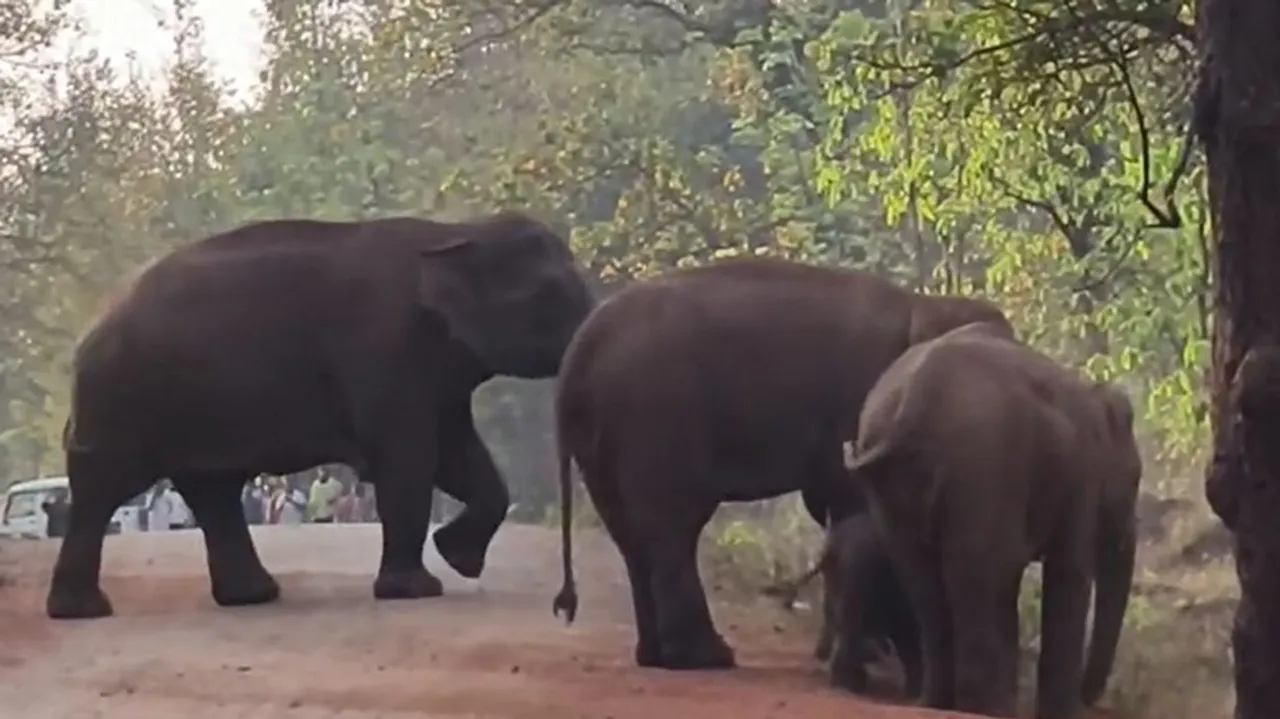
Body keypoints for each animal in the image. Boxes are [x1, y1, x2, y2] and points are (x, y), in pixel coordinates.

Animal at [47, 211, 594, 620]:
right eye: (552, 295)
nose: (564, 604)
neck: (455, 231)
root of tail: (94, 324)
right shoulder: (383, 349)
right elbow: (408, 459)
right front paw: (417, 589)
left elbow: (460, 457)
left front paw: (458, 558)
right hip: (122, 400)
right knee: (104, 486)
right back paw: (83, 611)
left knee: (212, 489)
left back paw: (254, 597)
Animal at [548, 257, 1014, 670]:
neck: (923, 305)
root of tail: (580, 348)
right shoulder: (858, 399)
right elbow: (846, 498)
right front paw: (870, 653)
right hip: (657, 411)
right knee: (672, 524)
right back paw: (703, 659)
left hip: (604, 433)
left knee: (630, 533)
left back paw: (657, 656)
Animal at [846, 321, 1142, 719]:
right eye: (1136, 481)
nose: (1091, 696)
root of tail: (915, 397)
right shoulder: (1082, 478)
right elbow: (1070, 570)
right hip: (982, 462)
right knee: (980, 569)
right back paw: (985, 706)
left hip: (892, 485)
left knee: (923, 575)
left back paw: (938, 701)